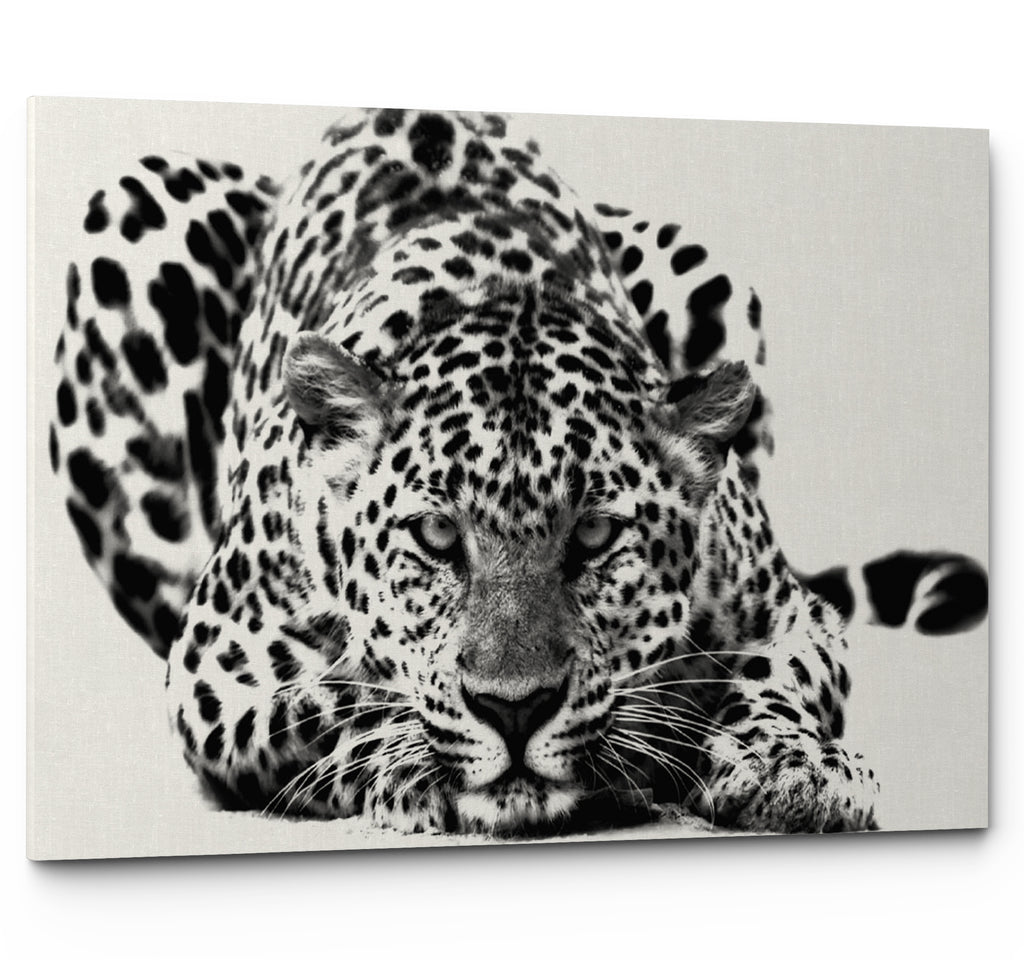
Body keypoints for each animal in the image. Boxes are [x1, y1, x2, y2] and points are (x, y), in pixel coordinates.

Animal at [49, 107, 988, 836]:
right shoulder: (215, 668)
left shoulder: (793, 615)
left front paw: (794, 767)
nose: (514, 709)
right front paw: (410, 759)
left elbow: (773, 679)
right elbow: (331, 698)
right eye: (435, 535)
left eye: (597, 534)